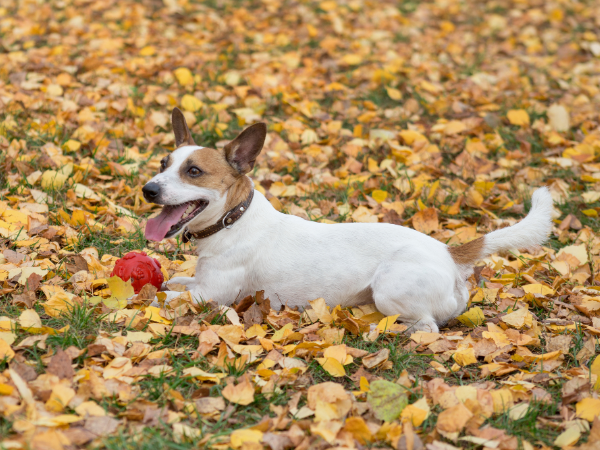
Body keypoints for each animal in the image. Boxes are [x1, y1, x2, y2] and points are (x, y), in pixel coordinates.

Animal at [142, 108, 552, 334]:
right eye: (163, 164)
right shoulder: (199, 282)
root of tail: (449, 253)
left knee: (427, 326)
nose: (148, 189)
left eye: (194, 171)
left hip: (390, 288)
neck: (233, 220)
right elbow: (173, 282)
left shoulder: (211, 295)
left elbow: (162, 295)